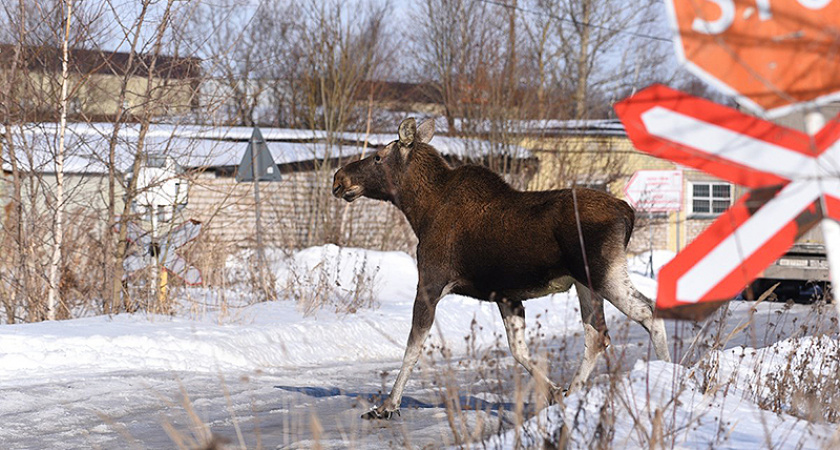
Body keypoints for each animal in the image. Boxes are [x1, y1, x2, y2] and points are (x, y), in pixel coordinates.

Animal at [334, 118, 668, 420]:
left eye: (378, 156)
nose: (339, 178)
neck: (419, 210)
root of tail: (628, 212)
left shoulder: (430, 281)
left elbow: (413, 347)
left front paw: (387, 406)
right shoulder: (507, 296)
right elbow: (518, 350)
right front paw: (554, 393)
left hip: (603, 273)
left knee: (648, 311)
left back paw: (668, 371)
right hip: (585, 281)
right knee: (597, 335)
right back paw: (573, 392)